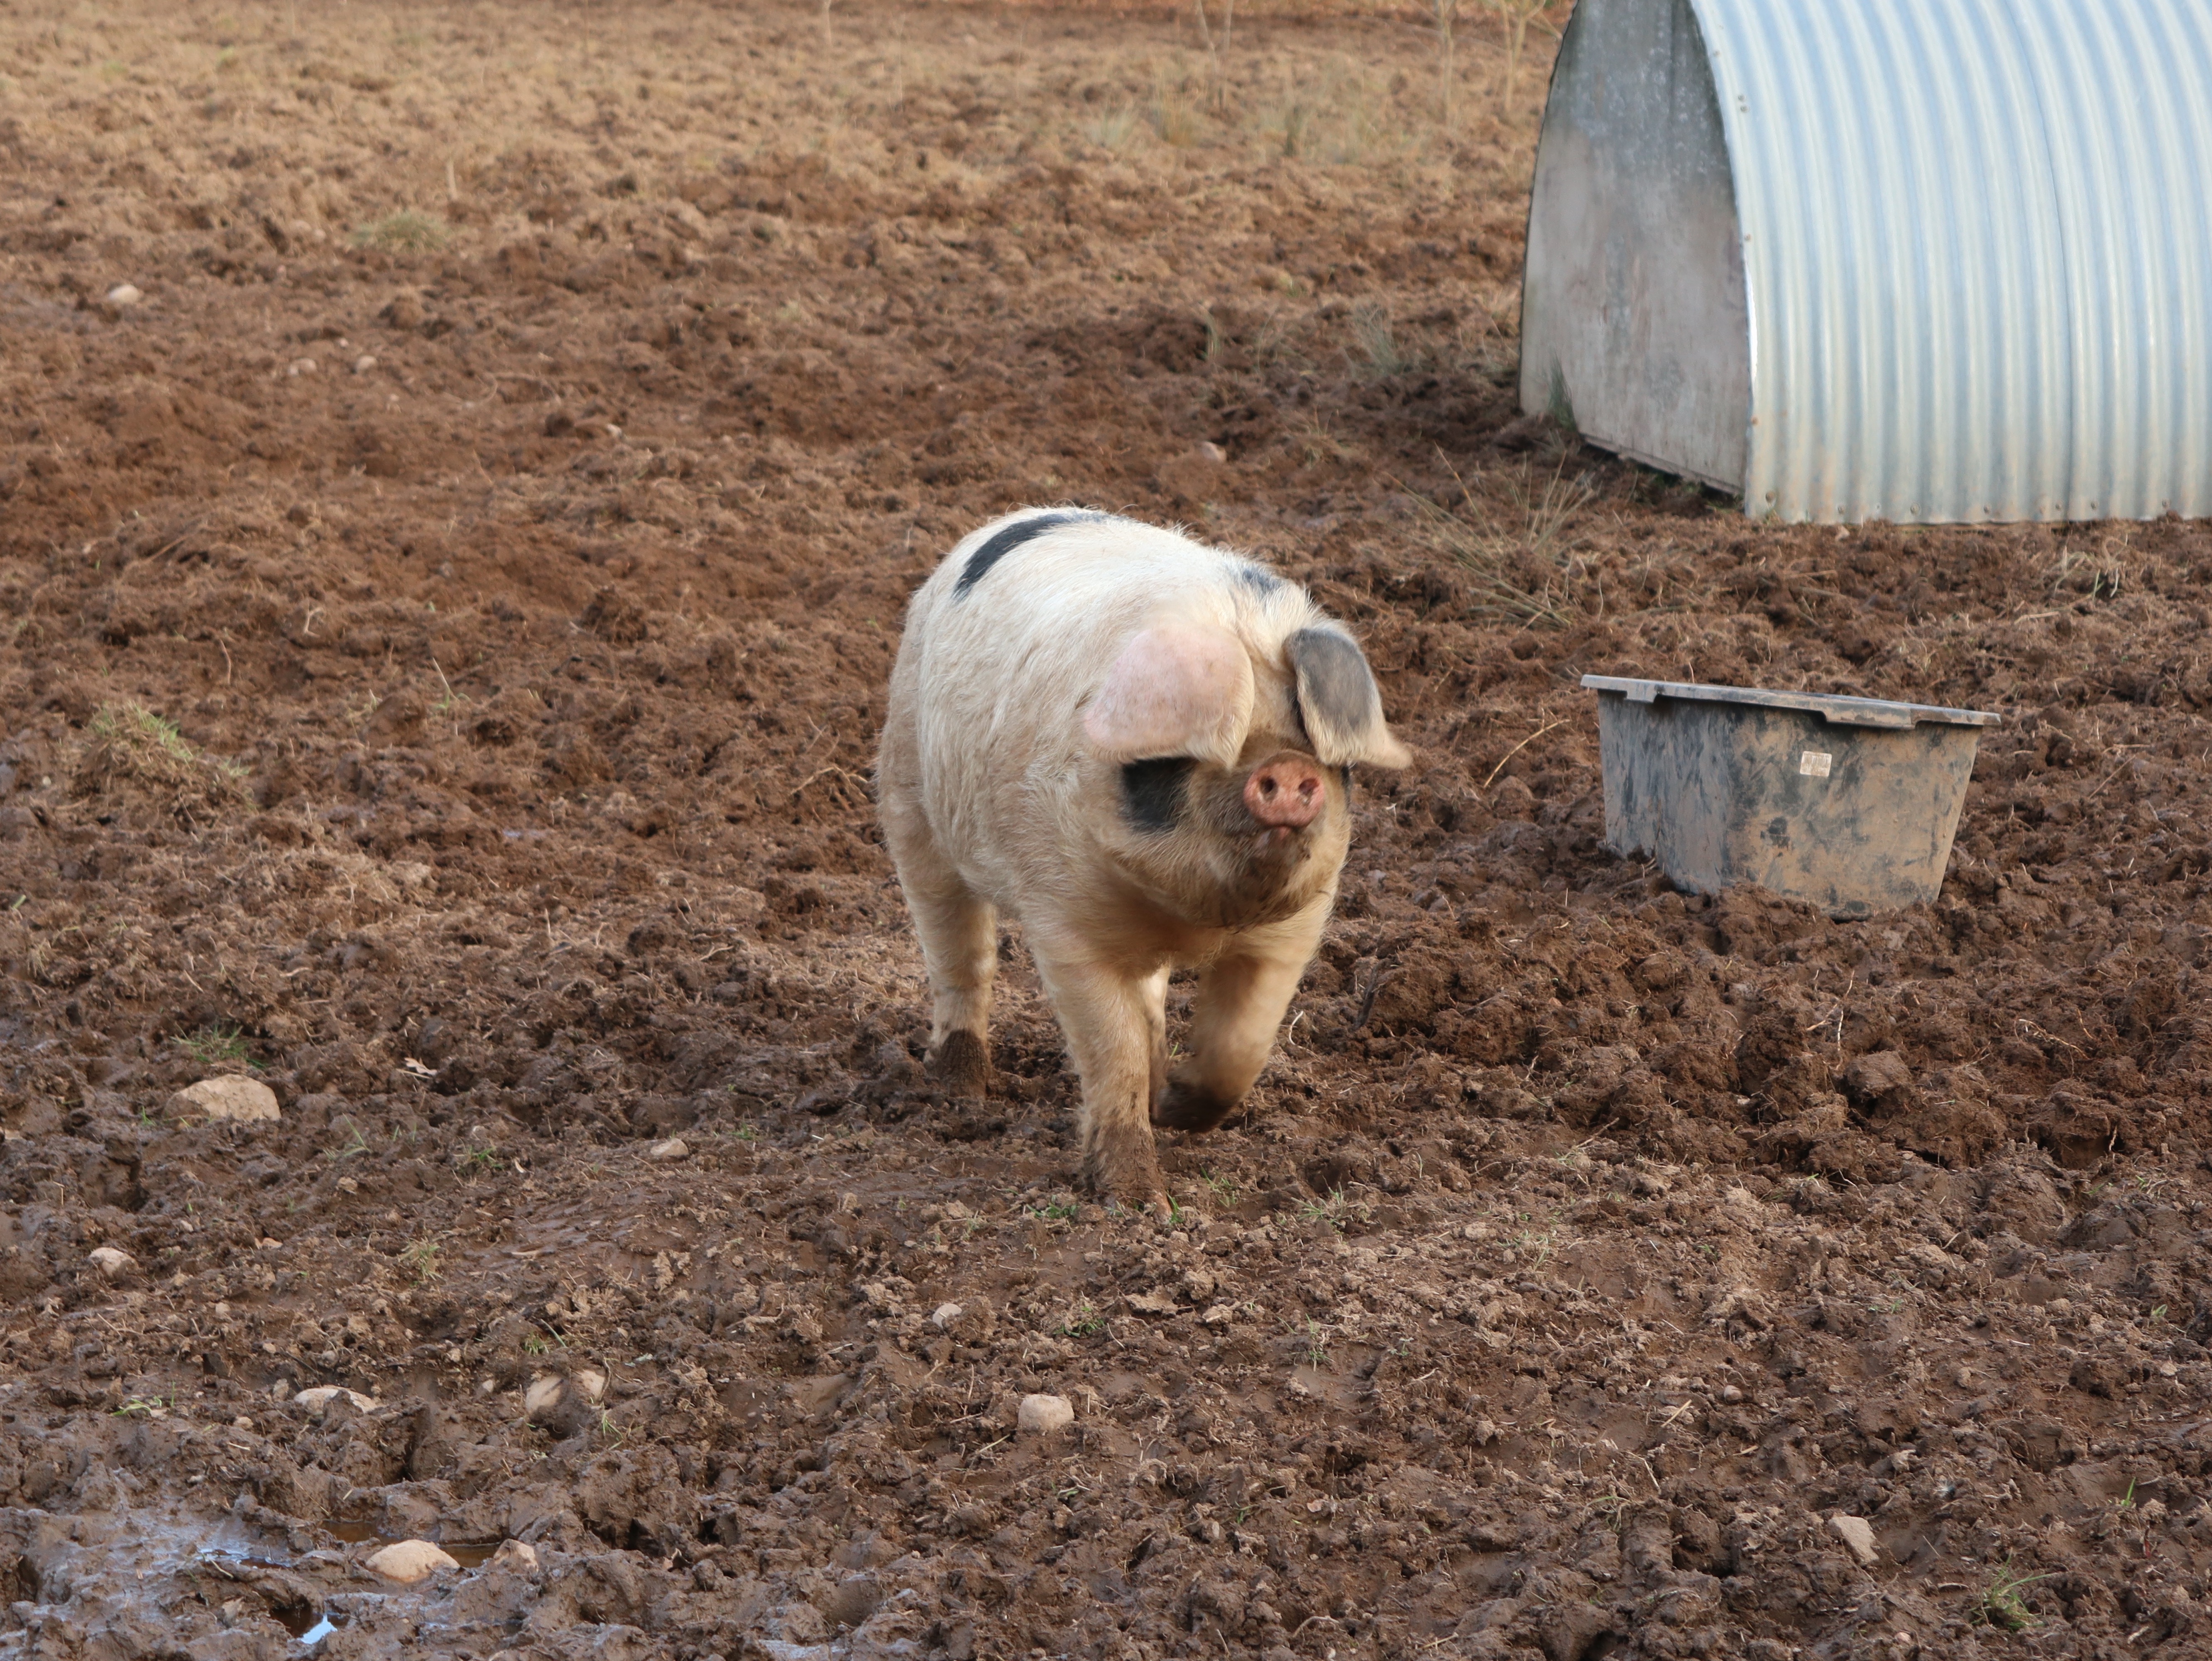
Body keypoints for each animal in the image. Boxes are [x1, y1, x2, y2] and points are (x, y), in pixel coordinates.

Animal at [877, 508, 1412, 1211]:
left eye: (1315, 744)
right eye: (1192, 751)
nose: (1289, 769)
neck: (1193, 915)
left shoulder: (1294, 928)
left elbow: (1240, 1048)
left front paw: (1177, 1108)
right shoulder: (1064, 921)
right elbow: (1114, 1049)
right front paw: (1141, 1204)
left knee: (1150, 994)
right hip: (908, 788)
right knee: (956, 950)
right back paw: (959, 1089)